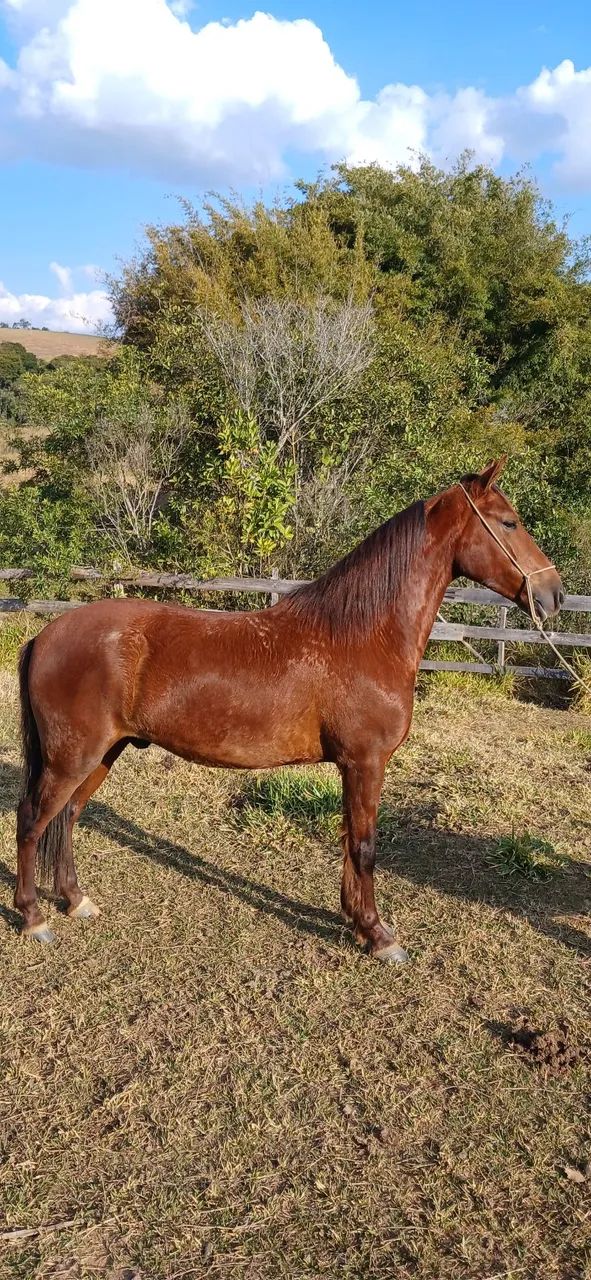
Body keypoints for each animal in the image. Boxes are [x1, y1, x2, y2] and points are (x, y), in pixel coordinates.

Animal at [15, 457, 563, 958]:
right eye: (509, 522)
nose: (553, 594)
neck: (362, 634)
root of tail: (45, 636)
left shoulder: (353, 767)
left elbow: (349, 842)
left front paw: (355, 922)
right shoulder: (365, 762)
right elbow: (365, 846)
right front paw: (379, 935)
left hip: (102, 755)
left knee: (68, 818)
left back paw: (75, 900)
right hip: (71, 759)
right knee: (32, 819)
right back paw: (34, 918)